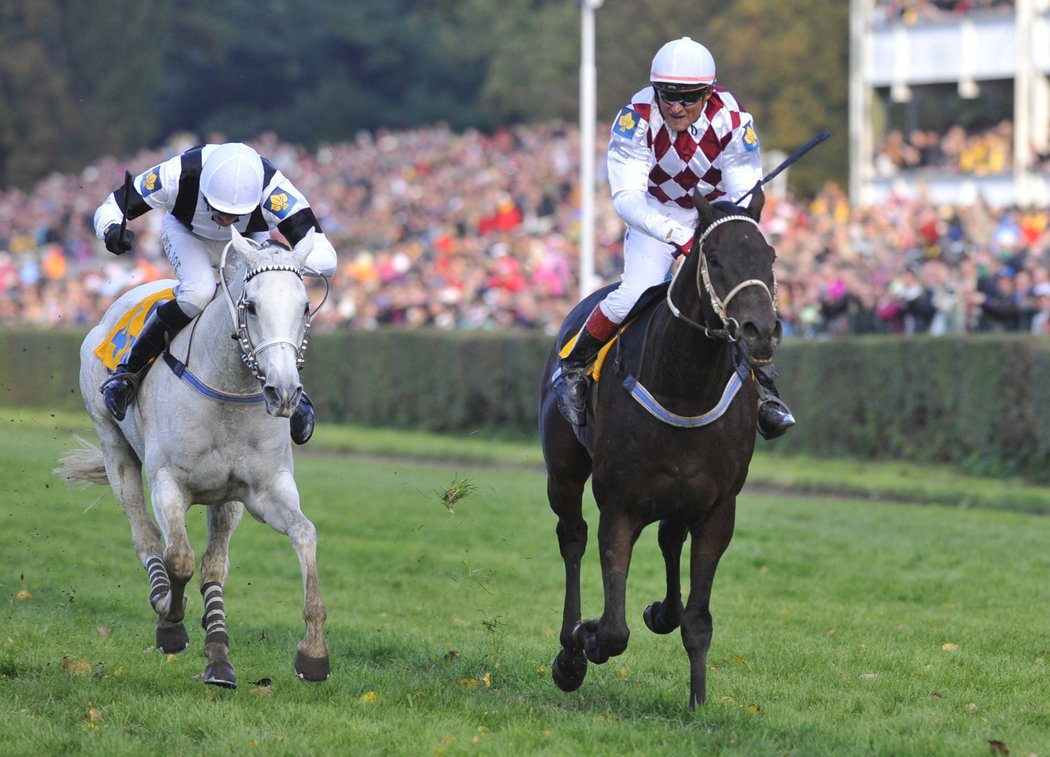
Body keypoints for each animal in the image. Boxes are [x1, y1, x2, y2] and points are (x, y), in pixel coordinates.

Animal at [541, 185, 781, 705]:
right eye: (714, 258)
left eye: (769, 255)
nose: (760, 331)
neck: (685, 390)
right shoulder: (620, 504)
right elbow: (614, 629)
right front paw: (585, 641)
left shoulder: (717, 509)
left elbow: (698, 620)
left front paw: (698, 703)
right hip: (563, 471)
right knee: (572, 537)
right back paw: (570, 646)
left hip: (681, 496)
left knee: (670, 540)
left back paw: (661, 612)